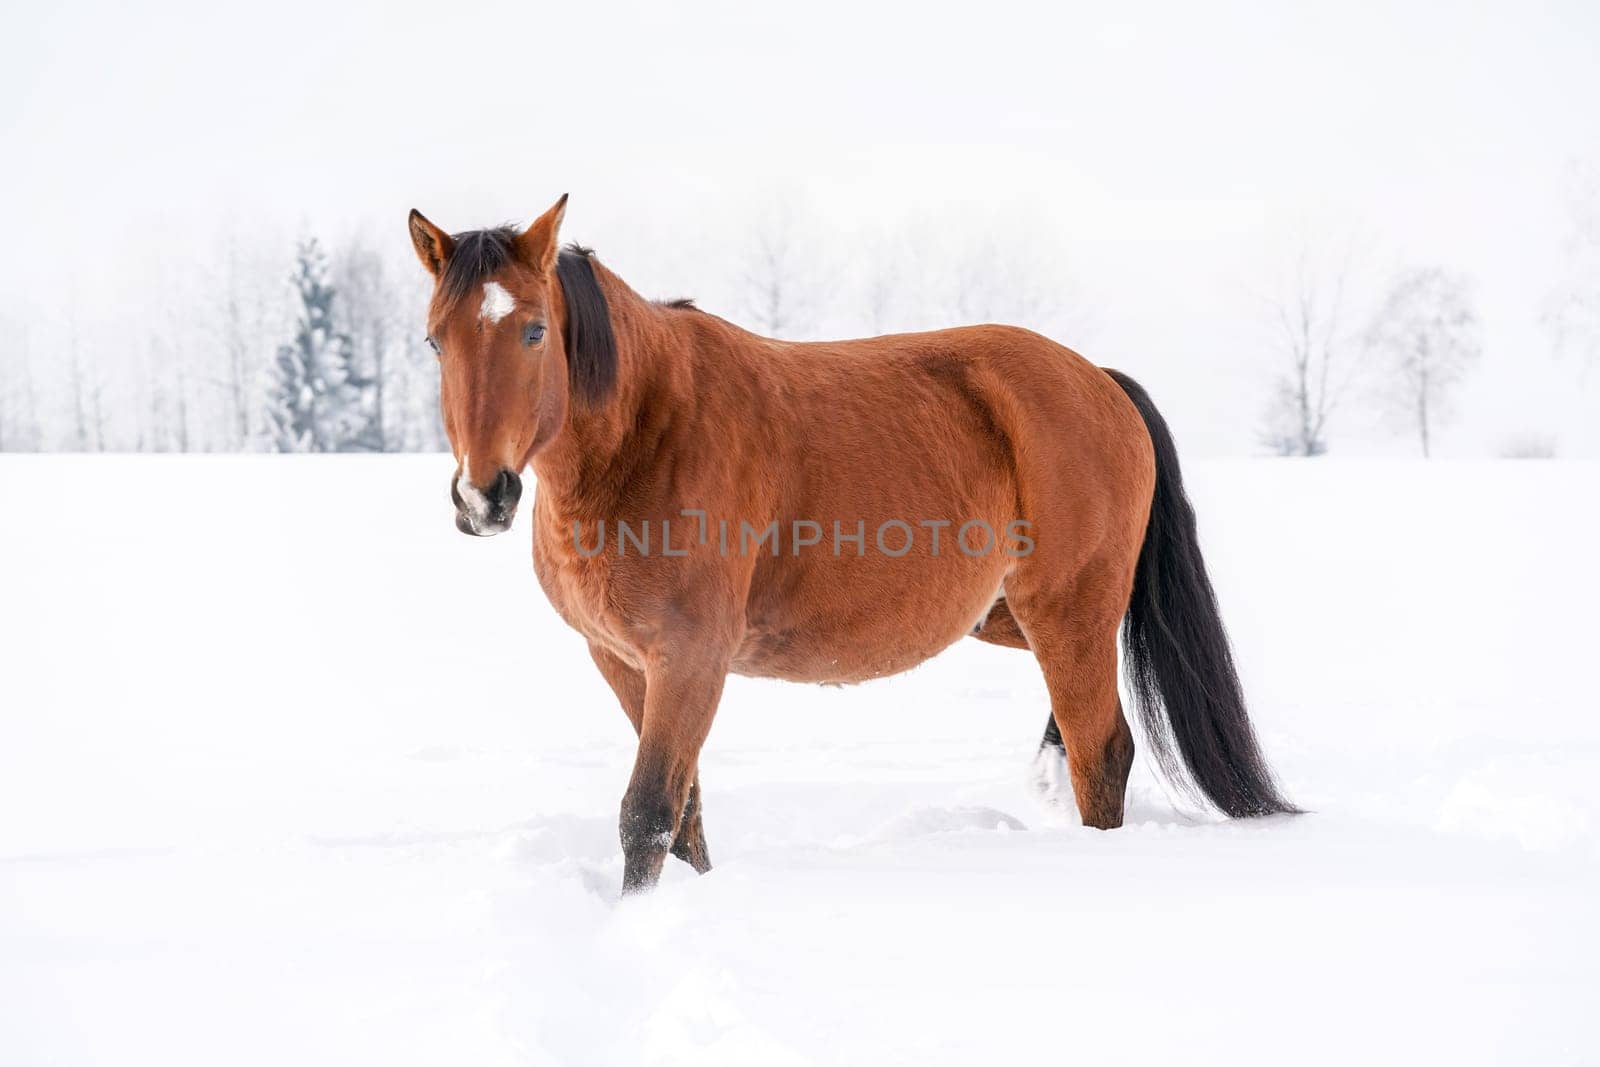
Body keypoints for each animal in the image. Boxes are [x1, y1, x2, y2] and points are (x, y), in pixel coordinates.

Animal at [406, 198, 1292, 895]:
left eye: (534, 331)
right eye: (434, 341)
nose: (483, 496)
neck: (648, 432)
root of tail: (1101, 382)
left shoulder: (690, 658)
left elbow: (648, 812)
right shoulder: (624, 660)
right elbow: (685, 813)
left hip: (1068, 609)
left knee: (1101, 751)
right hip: (1011, 614)